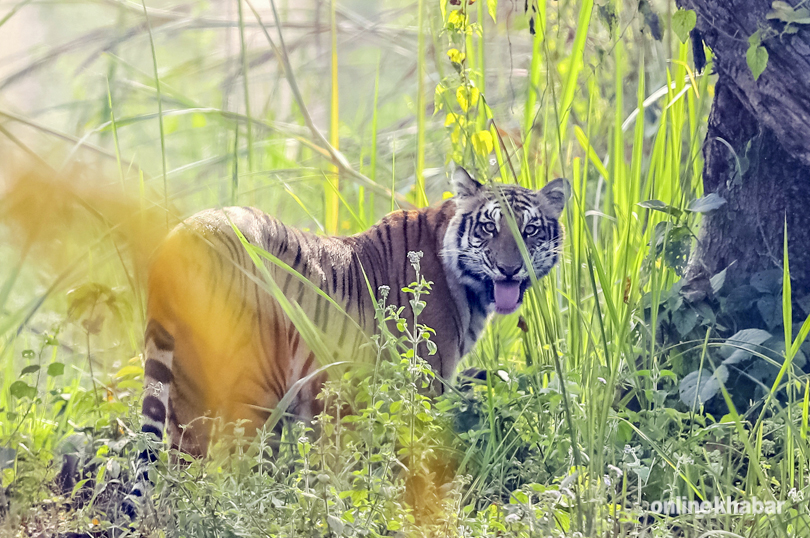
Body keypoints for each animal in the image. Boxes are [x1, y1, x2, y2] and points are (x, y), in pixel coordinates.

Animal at [126, 167, 568, 509]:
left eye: (530, 230)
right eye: (490, 227)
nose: (510, 269)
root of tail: (178, 238)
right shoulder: (420, 389)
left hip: (187, 390)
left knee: (180, 476)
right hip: (251, 390)